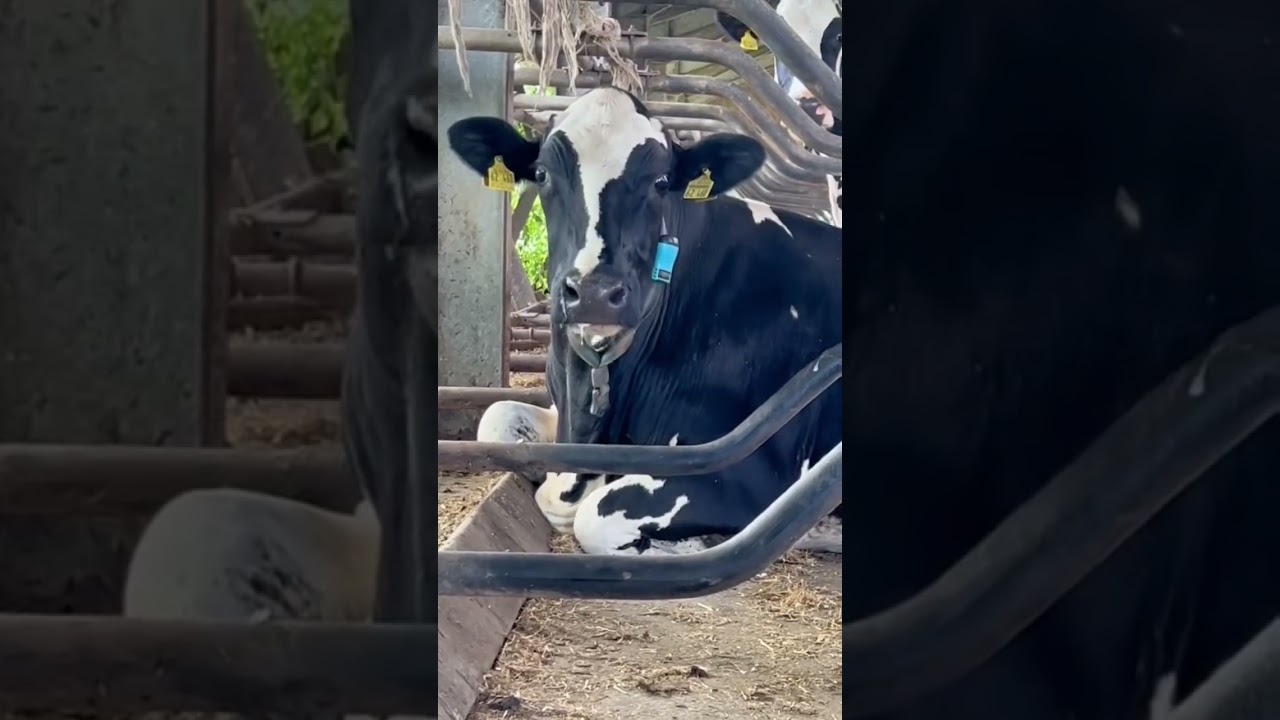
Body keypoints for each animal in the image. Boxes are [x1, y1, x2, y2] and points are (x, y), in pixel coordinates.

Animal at [448, 86, 843, 557]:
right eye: (541, 174)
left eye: (661, 183)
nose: (595, 292)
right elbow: (496, 416)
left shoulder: (754, 470)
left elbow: (594, 517)